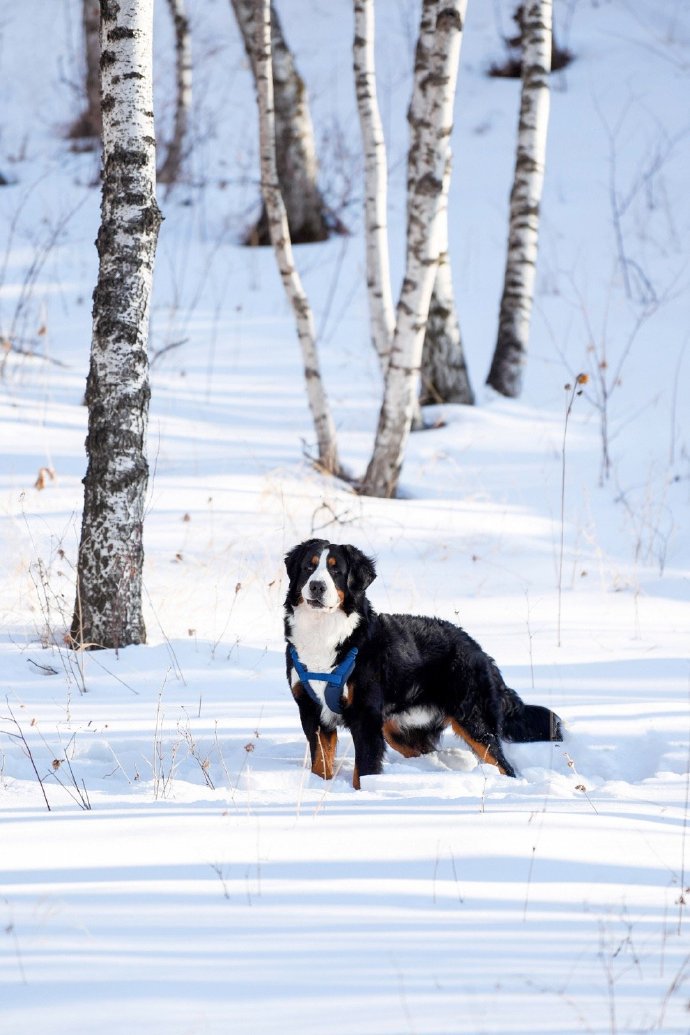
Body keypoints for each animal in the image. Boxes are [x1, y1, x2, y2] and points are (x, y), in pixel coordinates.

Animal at [283, 538, 562, 786]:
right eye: (309, 567)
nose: (317, 586)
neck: (325, 633)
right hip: (398, 729)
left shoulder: (365, 715)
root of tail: (478, 649)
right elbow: (321, 762)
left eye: (336, 570)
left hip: (474, 720)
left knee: (503, 765)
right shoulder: (311, 710)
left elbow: (365, 769)